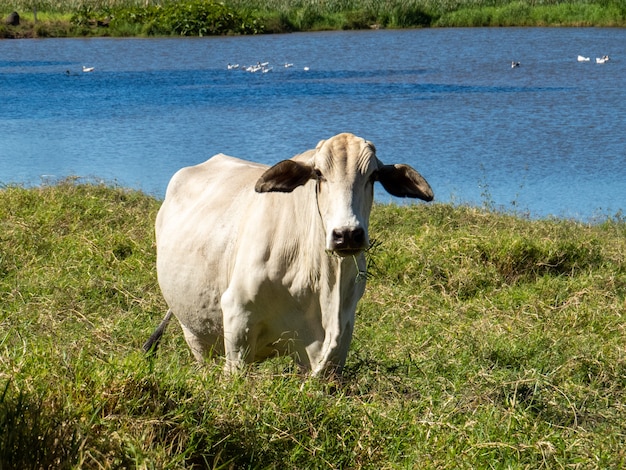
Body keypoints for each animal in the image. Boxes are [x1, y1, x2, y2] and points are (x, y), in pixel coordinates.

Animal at [144, 134, 432, 376]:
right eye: (318, 174)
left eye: (373, 176)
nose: (347, 234)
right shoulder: (237, 319)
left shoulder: (339, 342)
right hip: (195, 334)